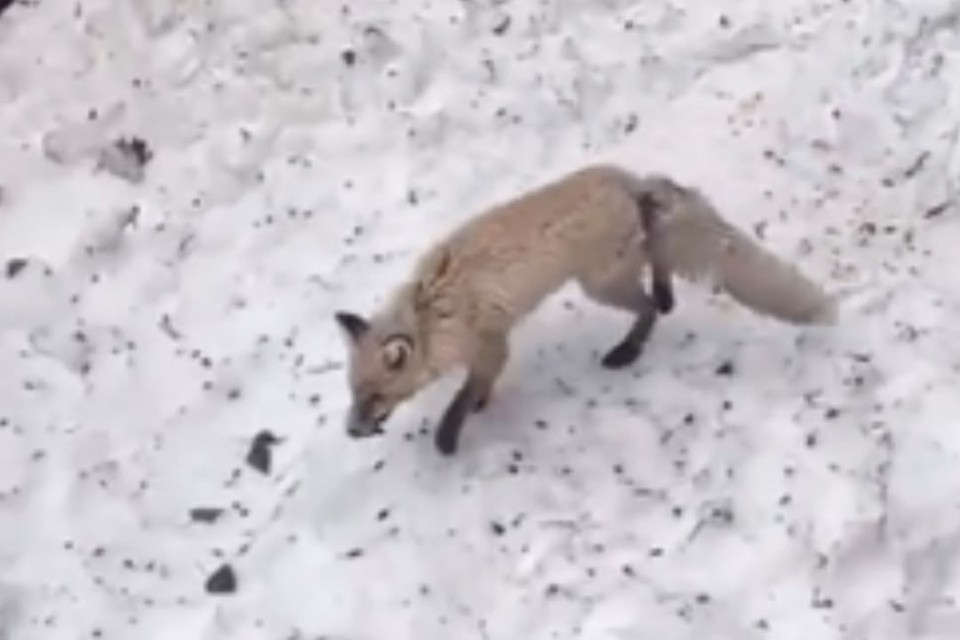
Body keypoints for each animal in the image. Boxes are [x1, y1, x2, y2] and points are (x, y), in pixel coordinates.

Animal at [333, 163, 837, 456]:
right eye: (354, 393)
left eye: (375, 396)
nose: (351, 431)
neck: (432, 314)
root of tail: (630, 181)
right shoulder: (483, 347)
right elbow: (476, 387)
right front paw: (476, 406)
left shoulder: (492, 342)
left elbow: (466, 393)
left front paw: (450, 435)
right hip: (616, 269)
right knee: (659, 266)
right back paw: (665, 297)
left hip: (600, 284)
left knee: (647, 303)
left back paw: (630, 347)